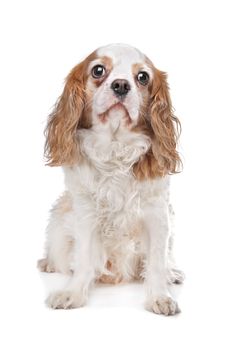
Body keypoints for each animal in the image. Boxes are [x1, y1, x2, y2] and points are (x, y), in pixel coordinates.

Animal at [37, 43, 184, 314]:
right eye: (98, 70)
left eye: (142, 77)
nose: (121, 85)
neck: (115, 148)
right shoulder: (85, 212)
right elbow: (84, 258)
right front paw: (73, 293)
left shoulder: (157, 213)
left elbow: (156, 261)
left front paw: (159, 296)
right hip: (60, 219)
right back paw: (50, 263)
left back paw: (172, 273)